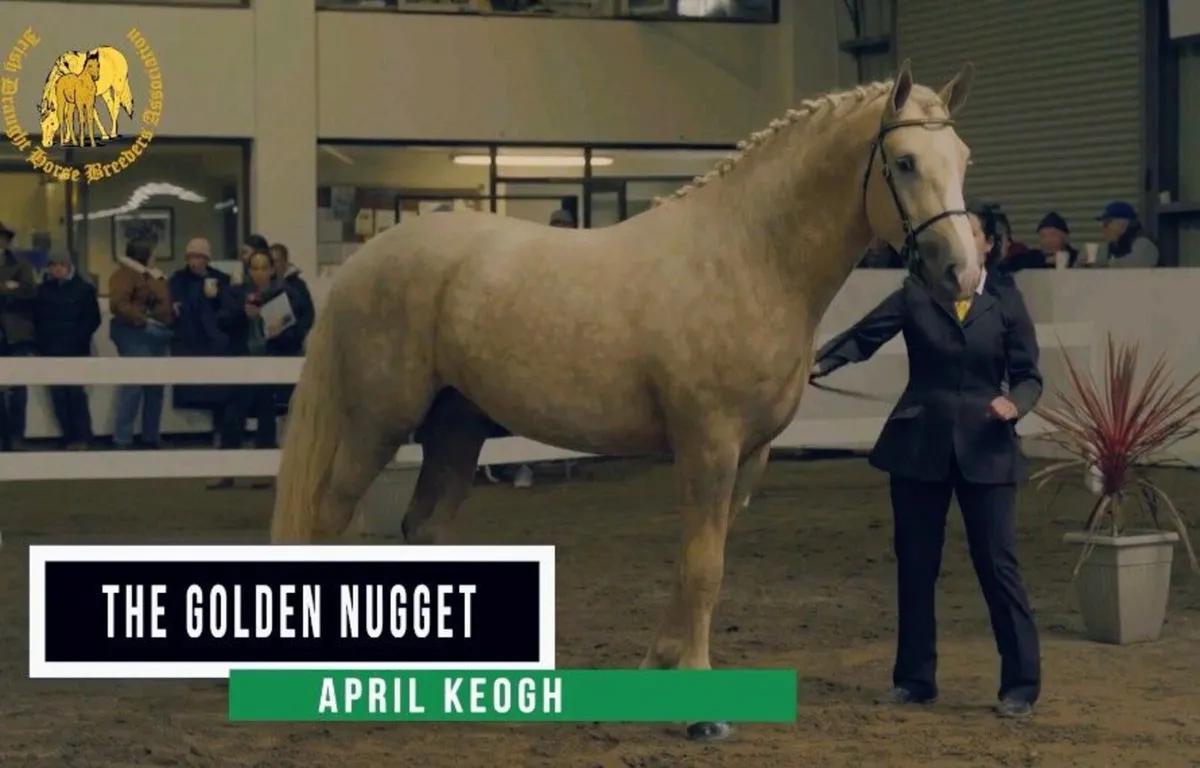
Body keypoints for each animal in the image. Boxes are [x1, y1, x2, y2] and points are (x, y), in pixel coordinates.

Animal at [270, 60, 977, 741]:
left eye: (964, 158)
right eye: (906, 162)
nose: (963, 274)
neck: (749, 256)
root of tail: (363, 260)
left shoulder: (748, 456)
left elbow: (699, 565)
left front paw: (659, 667)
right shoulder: (708, 444)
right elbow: (704, 568)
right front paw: (700, 711)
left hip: (455, 426)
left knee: (426, 530)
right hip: (377, 423)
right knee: (329, 518)